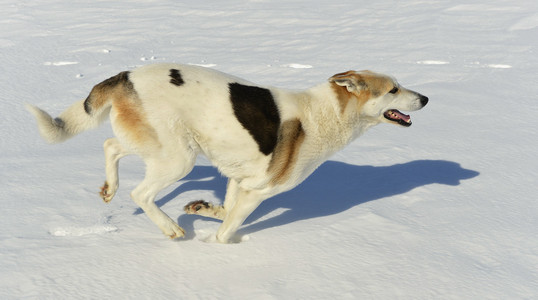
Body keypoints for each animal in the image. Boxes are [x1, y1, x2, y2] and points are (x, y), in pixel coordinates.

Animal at [26, 63, 428, 244]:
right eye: (393, 90)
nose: (425, 98)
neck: (328, 112)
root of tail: (126, 75)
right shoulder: (258, 190)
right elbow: (227, 228)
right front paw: (222, 249)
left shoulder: (242, 180)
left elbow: (224, 210)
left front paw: (202, 208)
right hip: (178, 158)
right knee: (141, 194)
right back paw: (171, 229)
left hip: (160, 146)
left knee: (111, 146)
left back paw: (110, 189)